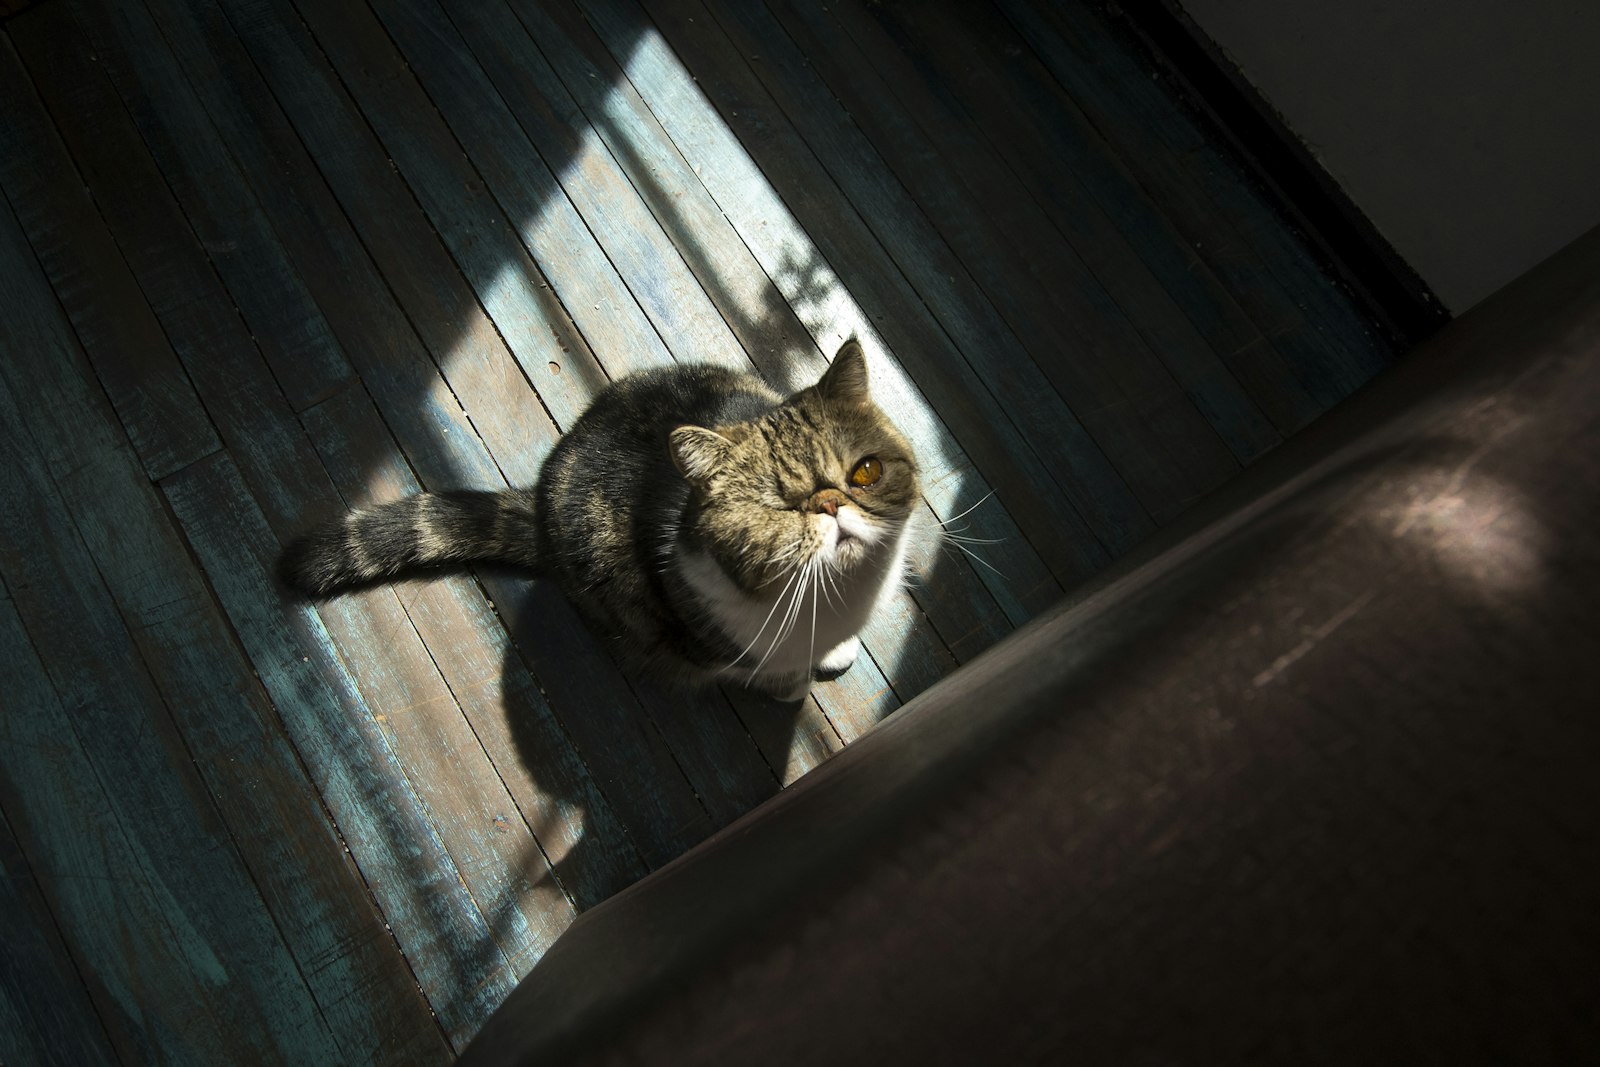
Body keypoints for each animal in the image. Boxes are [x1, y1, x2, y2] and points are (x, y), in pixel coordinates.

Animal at [281, 342, 921, 703]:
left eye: (864, 472)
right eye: (777, 509)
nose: (830, 505)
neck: (840, 598)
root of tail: (542, 497)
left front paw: (835, 652)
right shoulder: (707, 641)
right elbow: (767, 675)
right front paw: (793, 688)